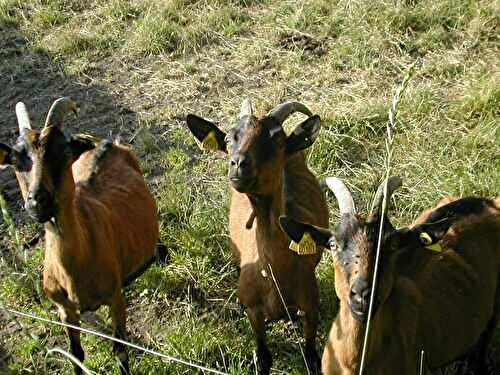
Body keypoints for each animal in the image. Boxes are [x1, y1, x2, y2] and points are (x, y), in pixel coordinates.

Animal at [0, 98, 158, 374]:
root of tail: (107, 144)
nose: (38, 201)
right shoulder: (65, 311)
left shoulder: (115, 299)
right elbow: (76, 355)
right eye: (17, 161)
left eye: (63, 153)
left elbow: (120, 351)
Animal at [186, 99, 330, 374]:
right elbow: (263, 358)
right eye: (229, 138)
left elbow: (311, 356)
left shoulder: (311, 306)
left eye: (277, 139)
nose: (239, 163)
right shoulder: (255, 312)